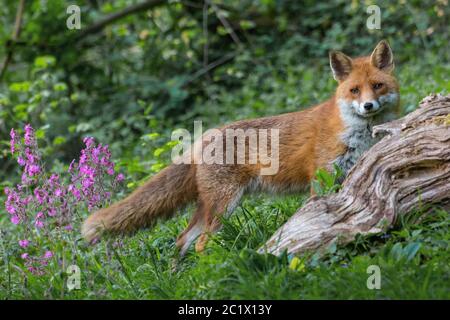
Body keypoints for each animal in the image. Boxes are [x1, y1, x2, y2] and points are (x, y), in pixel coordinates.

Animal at [82, 40, 400, 255]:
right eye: (354, 90)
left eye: (378, 86)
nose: (368, 106)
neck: (357, 132)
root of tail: (203, 138)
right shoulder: (321, 178)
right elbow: (319, 219)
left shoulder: (352, 174)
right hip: (224, 206)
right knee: (200, 244)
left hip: (209, 207)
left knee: (182, 240)